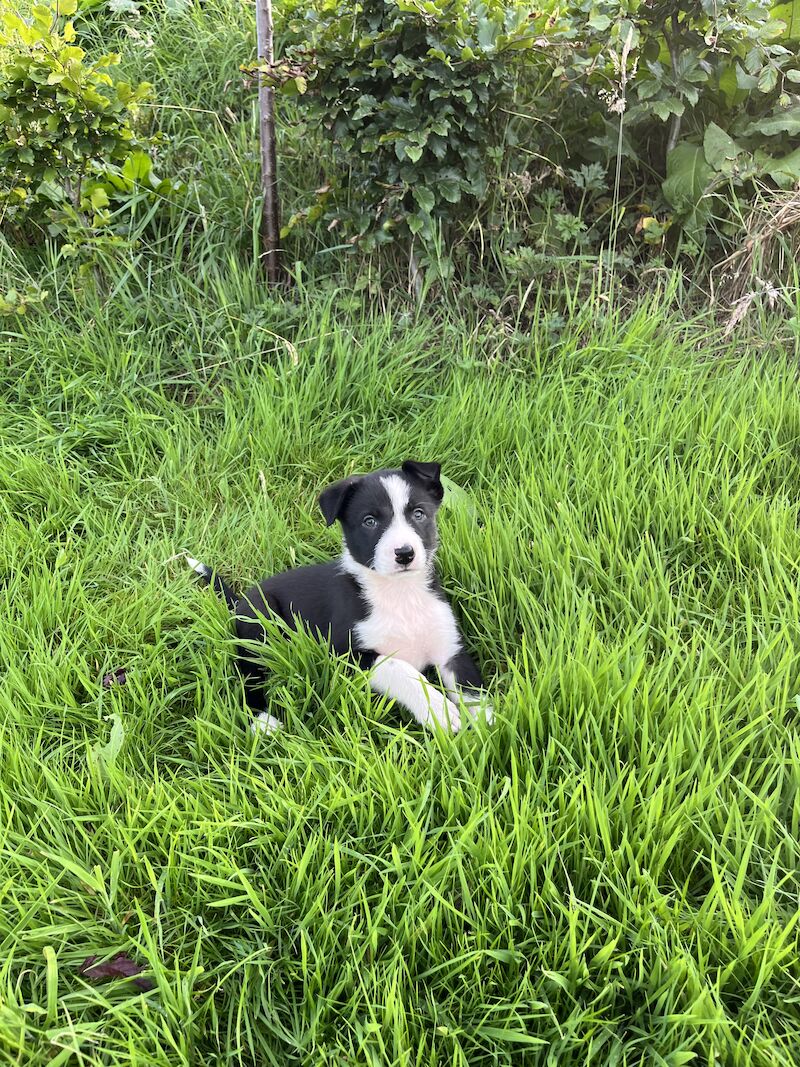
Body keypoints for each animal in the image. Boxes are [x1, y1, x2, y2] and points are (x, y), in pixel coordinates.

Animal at [189, 458, 488, 734]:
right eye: (369, 521)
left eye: (418, 514)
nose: (404, 553)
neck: (400, 594)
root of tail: (241, 599)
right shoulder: (345, 655)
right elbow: (401, 668)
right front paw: (439, 710)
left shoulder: (450, 648)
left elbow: (472, 690)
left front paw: (487, 729)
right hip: (259, 625)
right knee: (249, 672)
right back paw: (263, 720)